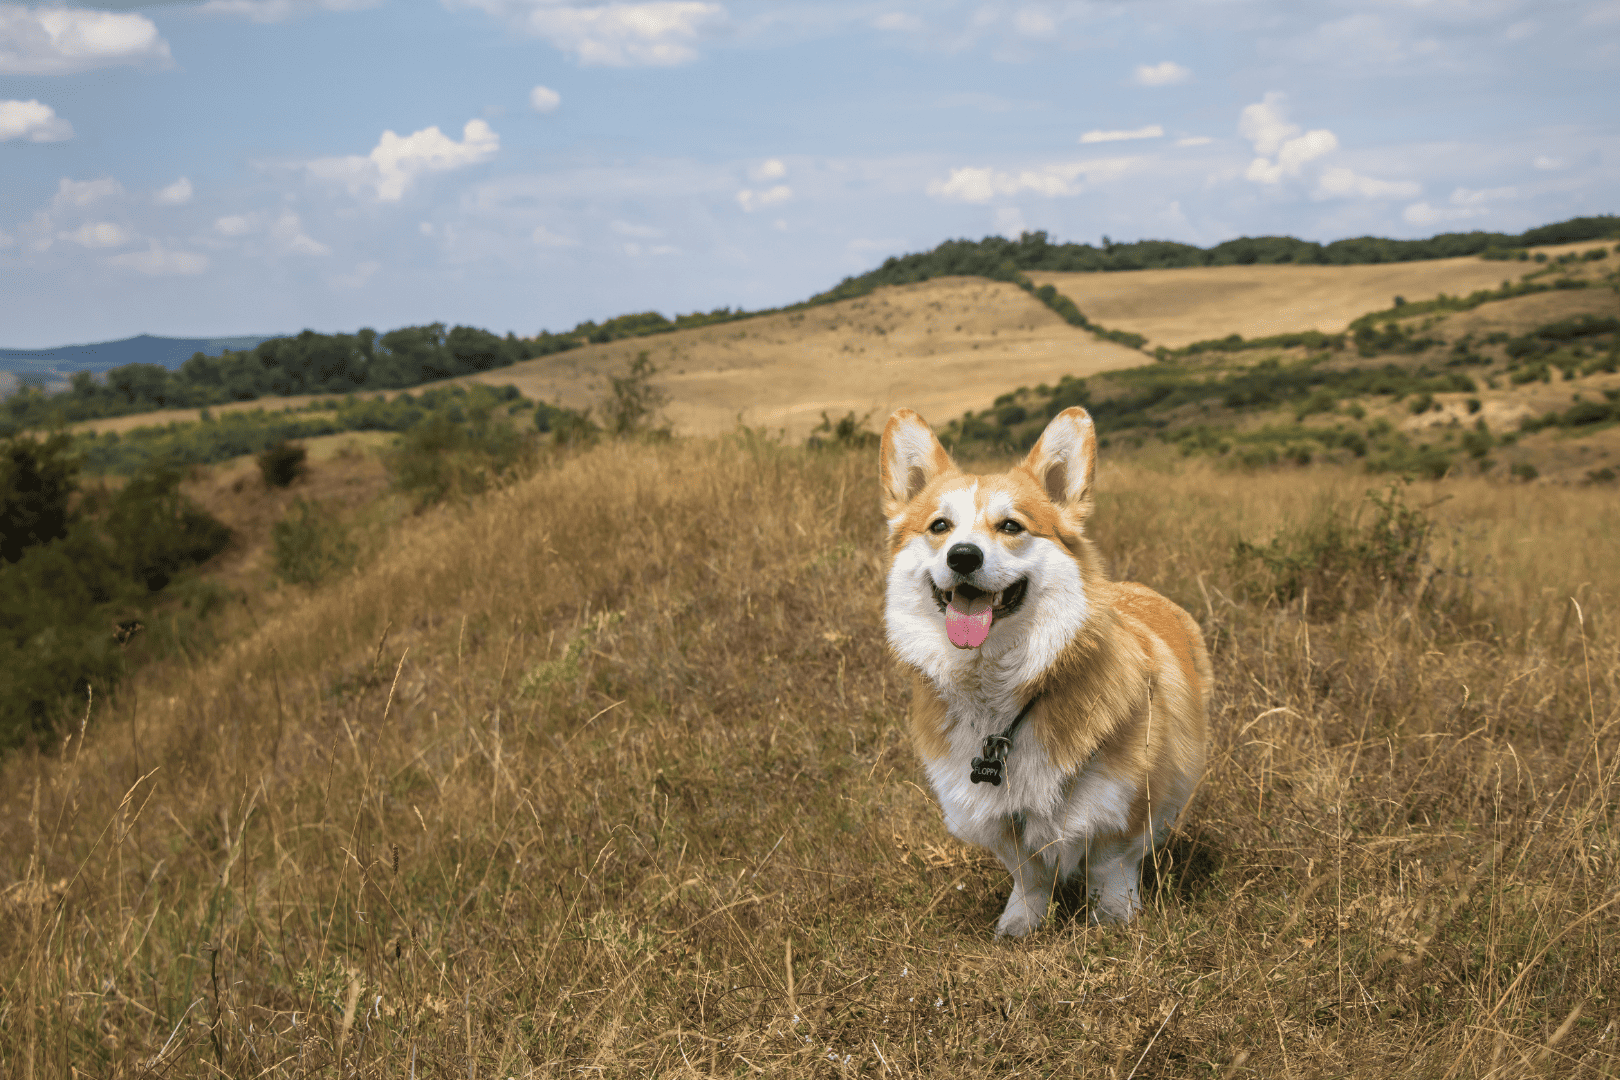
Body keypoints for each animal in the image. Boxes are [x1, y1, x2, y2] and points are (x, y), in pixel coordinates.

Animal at [881, 404, 1211, 939]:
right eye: (939, 526)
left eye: (1011, 527)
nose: (963, 556)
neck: (999, 703)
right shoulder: (995, 816)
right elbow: (1028, 876)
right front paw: (1019, 924)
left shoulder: (1120, 804)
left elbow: (1111, 867)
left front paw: (1114, 922)